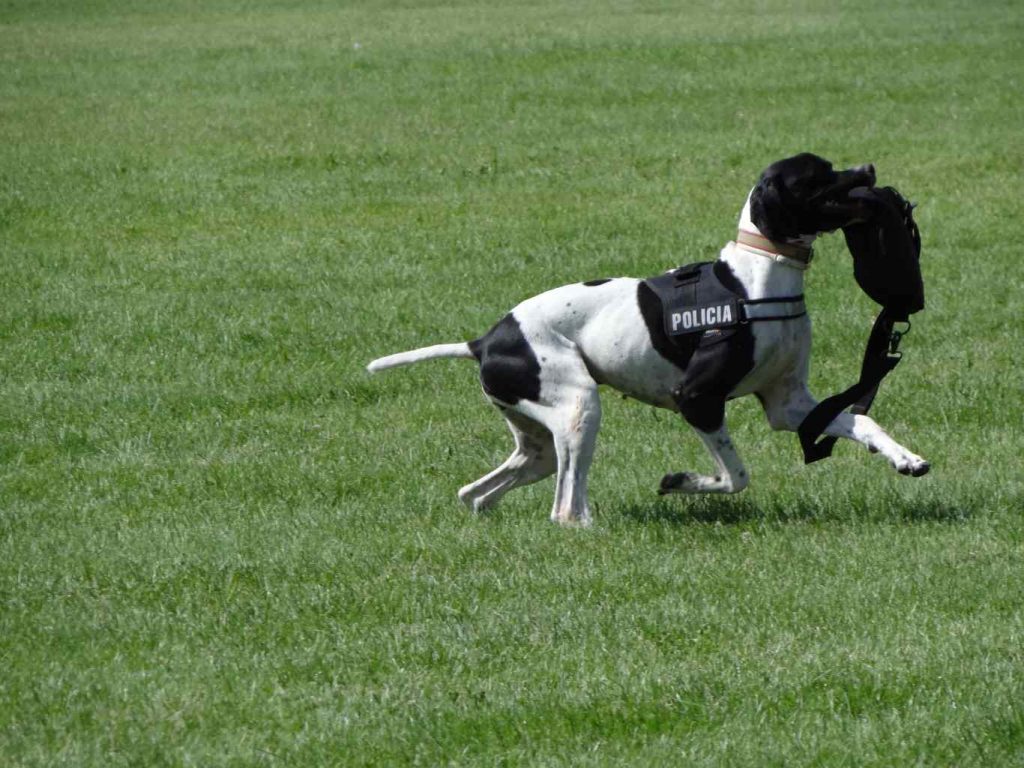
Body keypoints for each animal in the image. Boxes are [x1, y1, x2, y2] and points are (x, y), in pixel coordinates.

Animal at [368, 156, 929, 528]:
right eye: (818, 173)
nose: (870, 168)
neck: (755, 279)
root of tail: (483, 340)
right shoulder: (696, 400)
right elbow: (736, 475)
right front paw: (682, 483)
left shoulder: (787, 404)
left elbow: (862, 421)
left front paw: (905, 458)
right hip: (580, 410)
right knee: (565, 508)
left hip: (541, 443)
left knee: (478, 493)